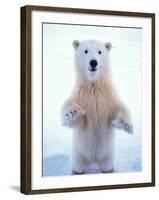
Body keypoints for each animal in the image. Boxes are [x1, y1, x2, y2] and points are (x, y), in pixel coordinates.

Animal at [60, 39, 133, 174]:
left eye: (100, 51)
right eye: (85, 51)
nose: (93, 62)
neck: (94, 86)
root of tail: (93, 160)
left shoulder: (108, 97)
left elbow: (119, 108)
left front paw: (126, 125)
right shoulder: (81, 96)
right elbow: (74, 119)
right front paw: (71, 112)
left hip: (108, 156)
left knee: (107, 168)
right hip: (79, 154)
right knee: (78, 168)